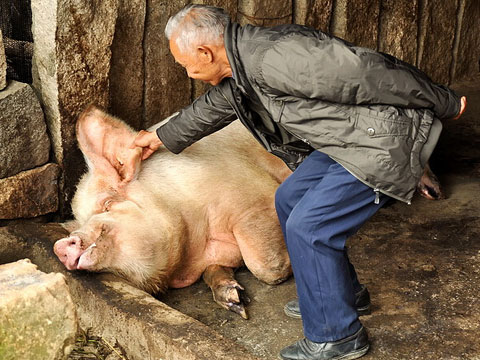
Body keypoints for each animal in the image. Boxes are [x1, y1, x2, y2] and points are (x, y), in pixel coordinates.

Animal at [53, 106, 292, 318]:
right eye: (79, 223)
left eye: (108, 203)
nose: (60, 246)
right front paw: (234, 300)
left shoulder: (253, 195)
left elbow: (266, 266)